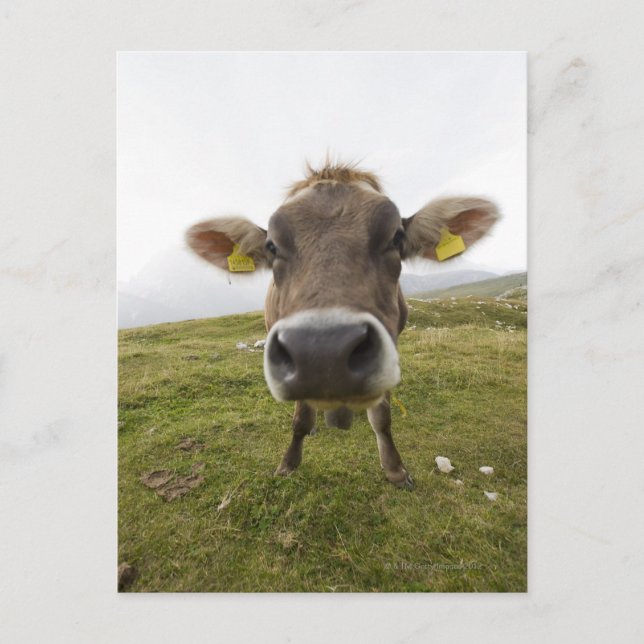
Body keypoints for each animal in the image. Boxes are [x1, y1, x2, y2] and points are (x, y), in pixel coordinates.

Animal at [186, 162, 500, 489]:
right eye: (271, 246)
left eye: (396, 238)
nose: (324, 352)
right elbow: (300, 418)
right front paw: (288, 464)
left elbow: (382, 417)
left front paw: (396, 470)